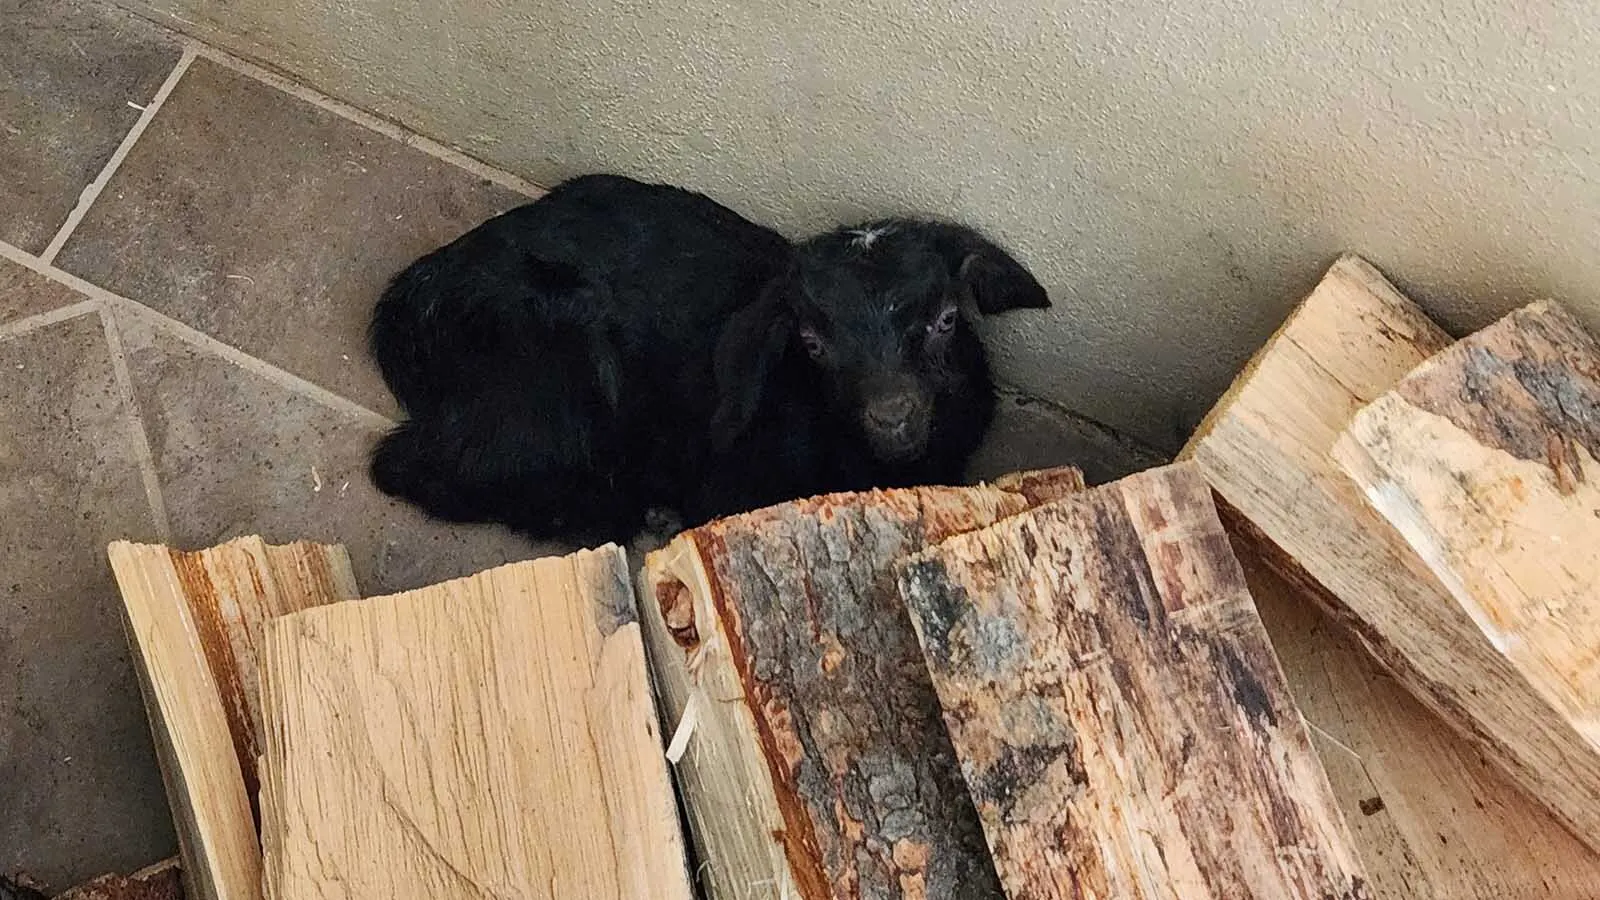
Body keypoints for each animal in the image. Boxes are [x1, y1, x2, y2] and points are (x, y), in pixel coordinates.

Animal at [368, 174, 1050, 543]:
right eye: (811, 342)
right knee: (412, 466)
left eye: (946, 319)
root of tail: (411, 299)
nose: (893, 414)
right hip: (549, 381)